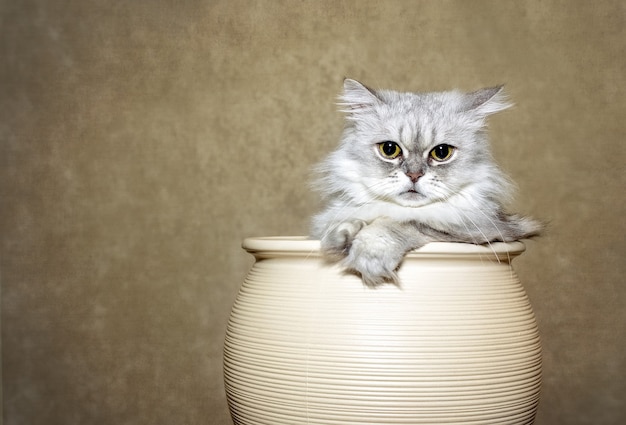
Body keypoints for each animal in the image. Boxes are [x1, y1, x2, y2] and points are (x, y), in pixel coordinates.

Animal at [310, 78, 540, 286]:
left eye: (441, 153)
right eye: (389, 149)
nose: (414, 175)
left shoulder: (486, 231)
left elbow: (401, 223)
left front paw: (368, 256)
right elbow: (335, 230)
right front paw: (342, 235)